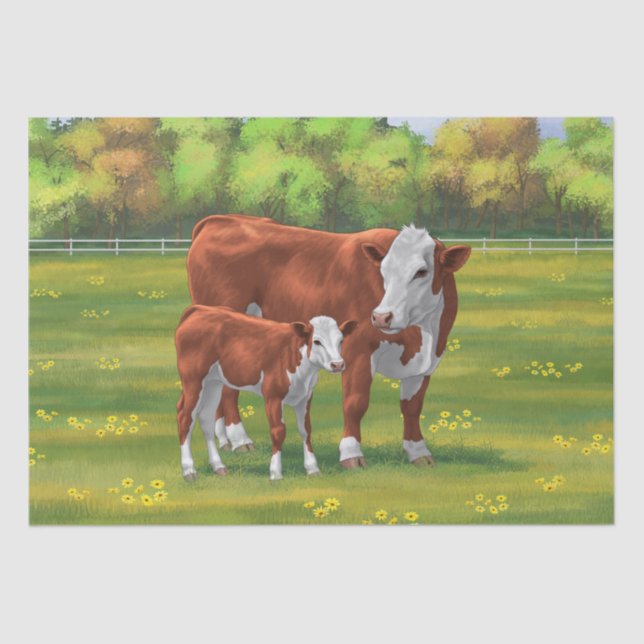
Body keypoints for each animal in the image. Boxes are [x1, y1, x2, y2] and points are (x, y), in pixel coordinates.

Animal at [175, 305, 357, 481]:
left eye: (341, 340)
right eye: (317, 341)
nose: (338, 364)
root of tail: (200, 310)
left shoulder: (305, 396)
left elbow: (306, 430)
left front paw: (313, 469)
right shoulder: (273, 396)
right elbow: (278, 431)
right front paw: (276, 473)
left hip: (213, 382)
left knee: (206, 419)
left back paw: (218, 467)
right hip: (193, 380)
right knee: (185, 417)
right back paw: (189, 471)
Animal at [187, 214, 471, 469]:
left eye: (422, 272)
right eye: (383, 271)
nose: (381, 316)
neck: (421, 335)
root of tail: (221, 220)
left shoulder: (427, 361)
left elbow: (412, 407)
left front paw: (418, 452)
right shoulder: (357, 351)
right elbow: (355, 403)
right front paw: (351, 454)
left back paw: (225, 440)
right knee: (229, 391)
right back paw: (239, 440)